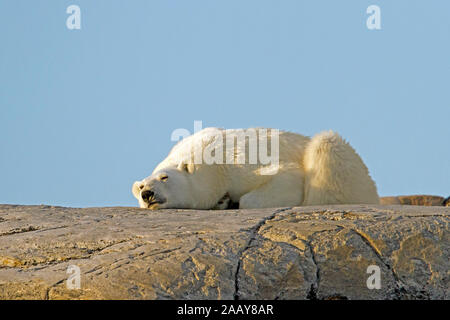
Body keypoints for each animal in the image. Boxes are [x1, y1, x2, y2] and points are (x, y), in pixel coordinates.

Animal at [132, 127, 378, 210]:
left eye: (164, 178)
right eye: (142, 185)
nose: (147, 194)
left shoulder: (234, 163)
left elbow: (288, 175)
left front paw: (231, 200)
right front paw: (222, 201)